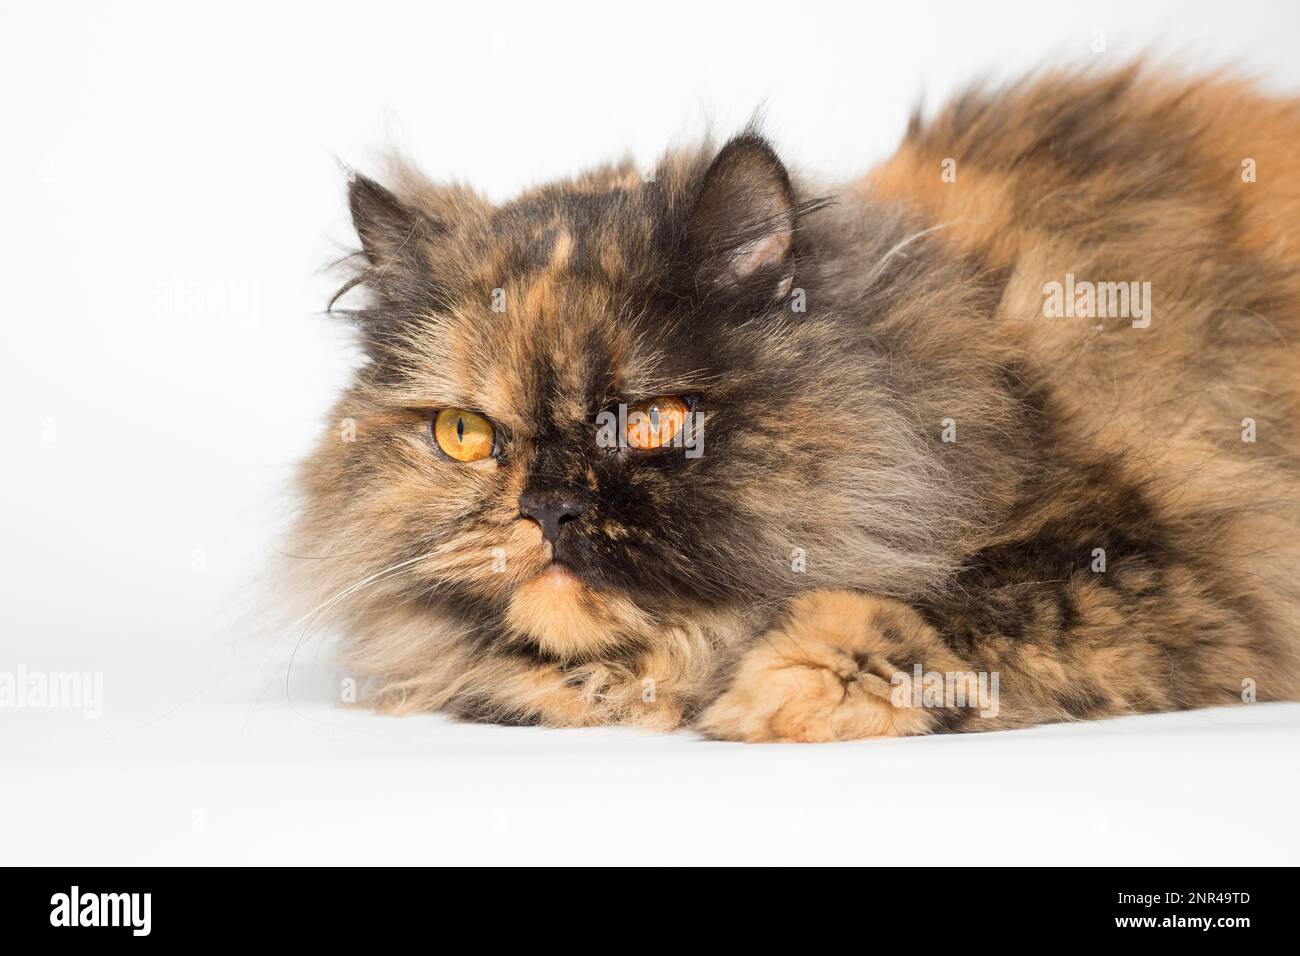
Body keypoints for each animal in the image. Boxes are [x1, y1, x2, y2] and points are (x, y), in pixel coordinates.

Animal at [292, 63, 1300, 743]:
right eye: (465, 435)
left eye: (654, 422)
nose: (548, 507)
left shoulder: (1160, 571)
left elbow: (943, 608)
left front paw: (774, 693)